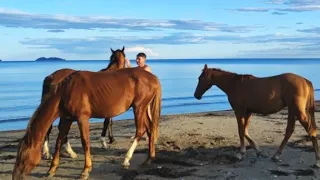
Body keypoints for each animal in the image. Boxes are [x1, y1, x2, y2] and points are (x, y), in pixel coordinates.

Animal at [13, 67, 161, 179]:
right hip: (143, 108)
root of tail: (154, 78)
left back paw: (126, 159)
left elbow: (85, 142)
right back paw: (149, 158)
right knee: (150, 128)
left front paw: (85, 170)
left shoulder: (82, 118)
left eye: (23, 157)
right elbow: (59, 141)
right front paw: (52, 169)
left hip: (139, 107)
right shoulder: (67, 119)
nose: (15, 176)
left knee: (140, 130)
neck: (65, 92)